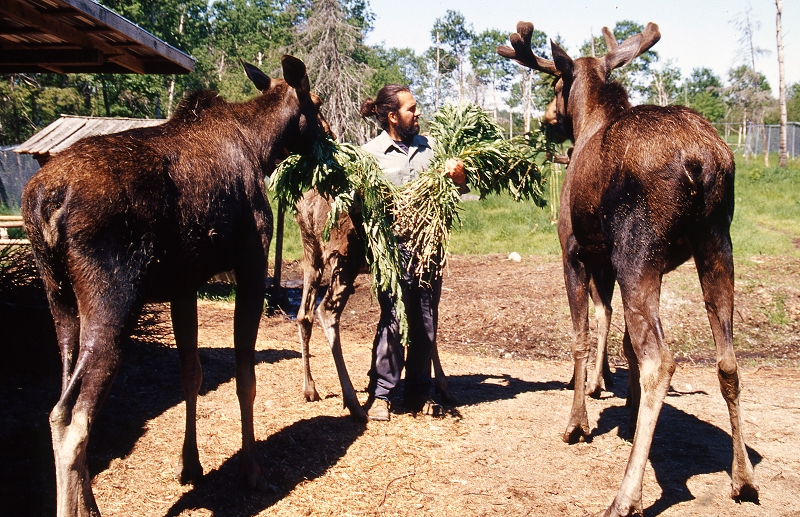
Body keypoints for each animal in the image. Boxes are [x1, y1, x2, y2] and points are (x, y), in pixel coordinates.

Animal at [21, 55, 328, 516]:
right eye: (319, 103)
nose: (333, 138)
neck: (262, 148)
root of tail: (44, 202)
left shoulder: (183, 286)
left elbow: (191, 376)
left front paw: (191, 465)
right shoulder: (251, 267)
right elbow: (245, 377)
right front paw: (252, 471)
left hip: (59, 300)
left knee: (57, 409)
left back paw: (89, 505)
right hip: (113, 302)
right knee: (75, 419)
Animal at [496, 20, 760, 512]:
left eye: (556, 84)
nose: (546, 118)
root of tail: (700, 162)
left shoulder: (575, 253)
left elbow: (581, 337)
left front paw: (578, 421)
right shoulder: (613, 262)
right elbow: (620, 339)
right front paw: (626, 407)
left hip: (640, 251)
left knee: (662, 360)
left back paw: (626, 495)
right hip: (716, 243)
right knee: (728, 360)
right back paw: (744, 477)